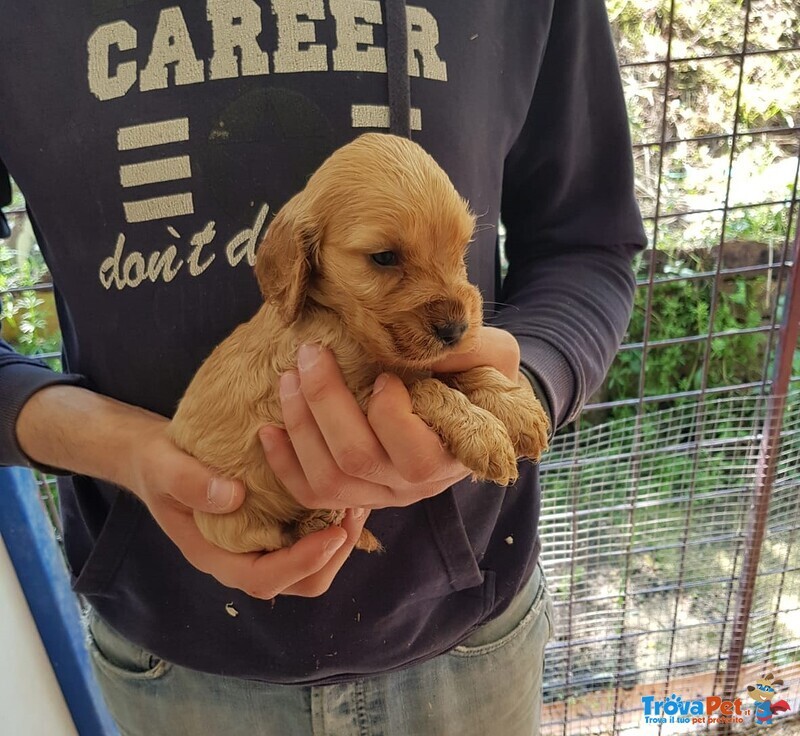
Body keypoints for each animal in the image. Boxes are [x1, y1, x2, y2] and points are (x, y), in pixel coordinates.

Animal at [166, 135, 548, 556]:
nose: (456, 330)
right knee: (275, 539)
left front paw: (516, 405)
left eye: (461, 249)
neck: (345, 322)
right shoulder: (343, 391)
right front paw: (483, 432)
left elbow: (458, 371)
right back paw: (318, 523)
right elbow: (425, 387)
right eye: (383, 257)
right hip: (226, 522)